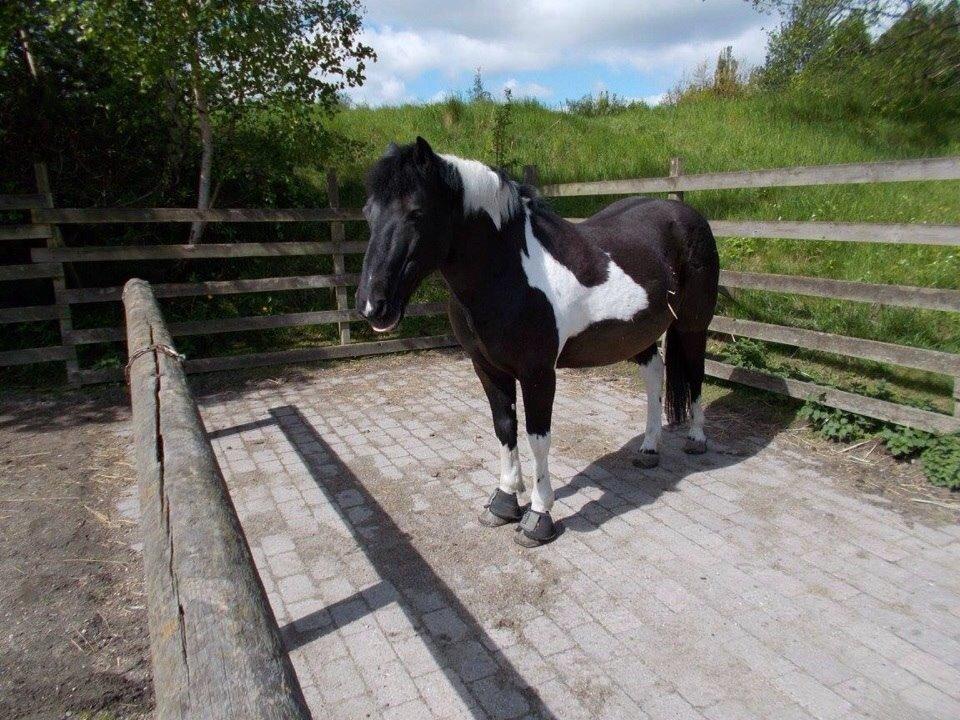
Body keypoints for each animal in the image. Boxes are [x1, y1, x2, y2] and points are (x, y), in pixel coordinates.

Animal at [356, 137, 719, 547]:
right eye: (368, 212)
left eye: (416, 212)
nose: (373, 306)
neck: (508, 272)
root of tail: (685, 213)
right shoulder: (487, 367)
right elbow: (504, 427)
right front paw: (503, 503)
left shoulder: (538, 373)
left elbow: (537, 438)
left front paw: (538, 517)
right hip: (638, 332)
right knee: (655, 373)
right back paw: (648, 447)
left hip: (692, 325)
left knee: (695, 373)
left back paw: (696, 439)